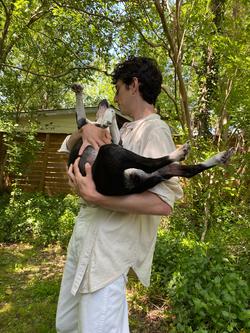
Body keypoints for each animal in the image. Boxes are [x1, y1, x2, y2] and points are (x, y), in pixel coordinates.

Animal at [67, 83, 233, 197]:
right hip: (112, 153)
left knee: (189, 171)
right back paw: (180, 153)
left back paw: (219, 156)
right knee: (152, 163)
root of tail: (130, 186)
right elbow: (82, 116)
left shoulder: (117, 142)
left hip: (160, 171)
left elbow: (109, 114)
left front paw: (105, 113)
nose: (104, 100)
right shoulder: (90, 128)